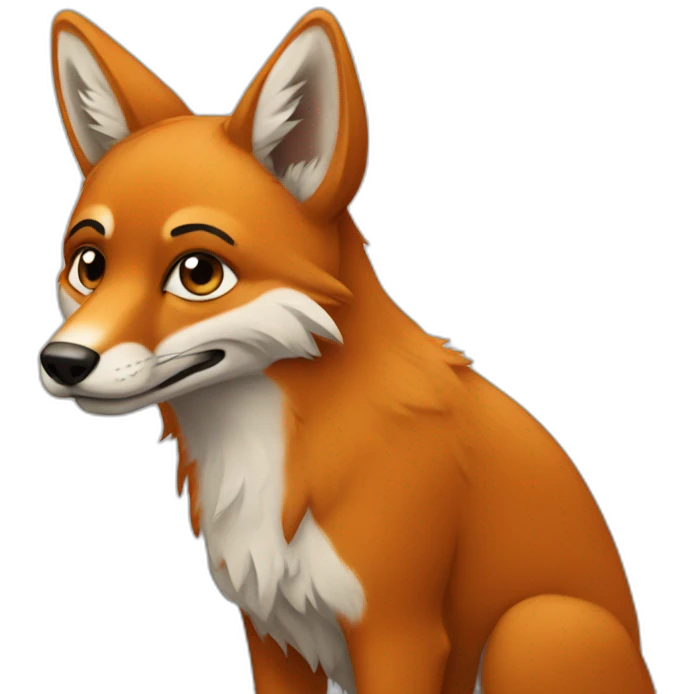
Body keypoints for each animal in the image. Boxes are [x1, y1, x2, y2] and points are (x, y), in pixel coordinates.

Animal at [41, 8, 657, 694]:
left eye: (199, 273)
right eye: (88, 266)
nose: (62, 362)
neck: (273, 456)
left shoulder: (400, 633)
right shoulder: (271, 635)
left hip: (532, 630)